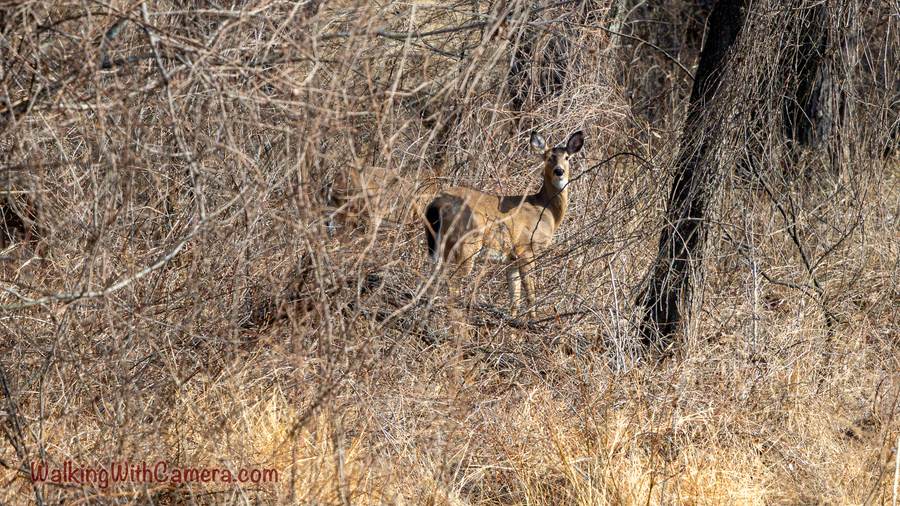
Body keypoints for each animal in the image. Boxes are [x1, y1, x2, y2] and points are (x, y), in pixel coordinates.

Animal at [423, 130, 584, 319]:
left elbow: (514, 298)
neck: (545, 210)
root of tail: (436, 204)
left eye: (567, 157)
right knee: (452, 281)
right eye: (548, 157)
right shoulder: (525, 248)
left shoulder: (511, 259)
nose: (559, 171)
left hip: (439, 245)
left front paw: (514, 322)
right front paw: (532, 321)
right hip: (466, 243)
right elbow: (530, 293)